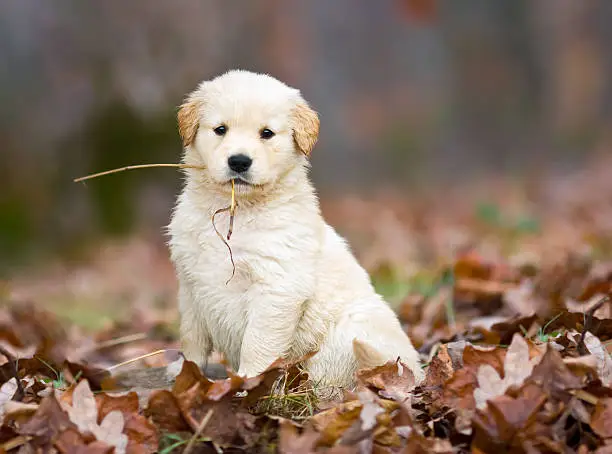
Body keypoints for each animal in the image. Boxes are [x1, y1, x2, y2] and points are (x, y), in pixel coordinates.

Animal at [169, 68, 426, 394]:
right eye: (220, 129)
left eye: (266, 133)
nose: (239, 161)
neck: (237, 210)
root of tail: (416, 374)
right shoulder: (190, 284)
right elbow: (192, 338)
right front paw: (185, 374)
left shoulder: (277, 287)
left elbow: (257, 343)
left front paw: (248, 383)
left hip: (350, 333)